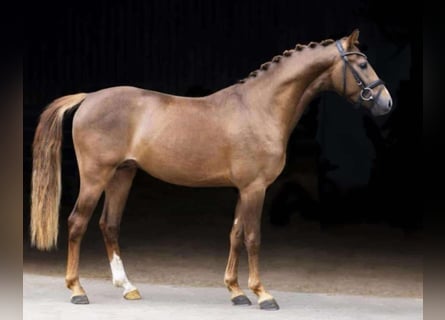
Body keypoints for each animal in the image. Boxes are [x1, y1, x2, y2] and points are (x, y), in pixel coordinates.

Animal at [29, 30, 390, 310]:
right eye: (361, 64)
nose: (386, 102)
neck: (260, 107)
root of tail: (89, 97)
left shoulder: (244, 189)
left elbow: (235, 234)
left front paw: (236, 291)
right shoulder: (255, 188)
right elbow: (253, 237)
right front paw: (263, 294)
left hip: (122, 175)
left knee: (109, 225)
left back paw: (128, 287)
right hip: (96, 177)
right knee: (77, 223)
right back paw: (77, 290)